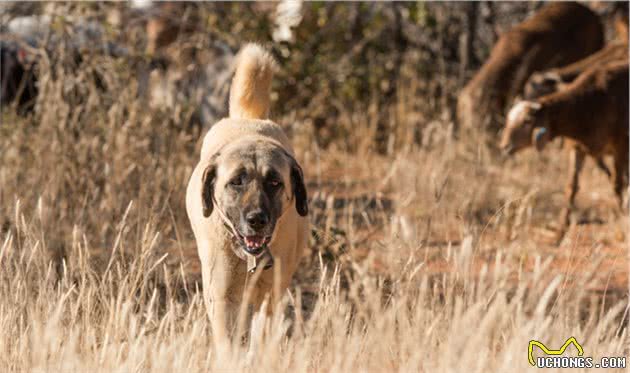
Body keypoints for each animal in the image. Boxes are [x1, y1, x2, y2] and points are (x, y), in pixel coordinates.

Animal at [184, 43, 310, 340]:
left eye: (274, 182)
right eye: (236, 182)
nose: (256, 220)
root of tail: (248, 119)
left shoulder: (269, 297)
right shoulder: (221, 298)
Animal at [502, 60, 628, 228]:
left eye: (527, 121)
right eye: (509, 119)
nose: (505, 146)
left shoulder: (620, 146)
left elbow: (617, 183)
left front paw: (623, 214)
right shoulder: (578, 148)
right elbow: (571, 187)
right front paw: (561, 228)